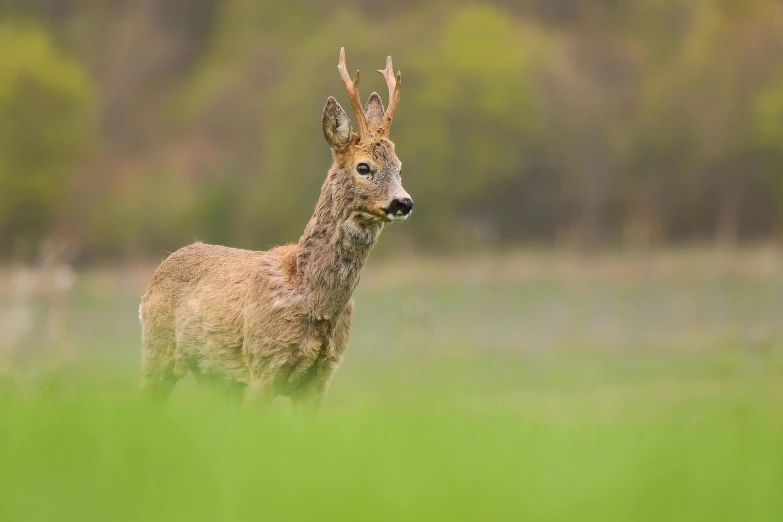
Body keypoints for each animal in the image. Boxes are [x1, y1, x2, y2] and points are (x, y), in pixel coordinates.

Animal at [139, 48, 414, 410]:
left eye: (399, 167)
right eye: (364, 167)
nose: (404, 202)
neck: (312, 297)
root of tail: (158, 272)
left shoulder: (321, 378)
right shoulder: (263, 366)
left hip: (215, 377)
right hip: (157, 350)